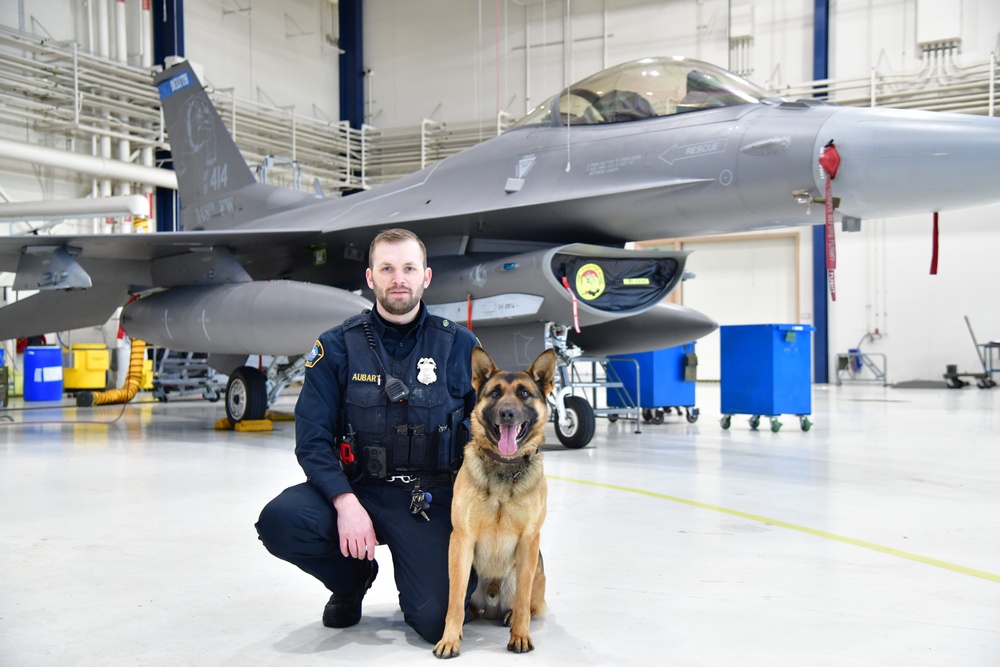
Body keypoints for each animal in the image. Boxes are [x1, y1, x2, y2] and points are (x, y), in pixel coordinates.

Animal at [430, 348, 556, 660]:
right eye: (495, 393)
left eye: (524, 393)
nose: (507, 413)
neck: (505, 468)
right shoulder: (461, 541)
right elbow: (454, 600)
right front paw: (450, 639)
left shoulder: (529, 542)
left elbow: (523, 600)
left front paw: (520, 636)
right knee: (467, 607)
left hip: (527, 572)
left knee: (528, 604)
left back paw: (511, 618)